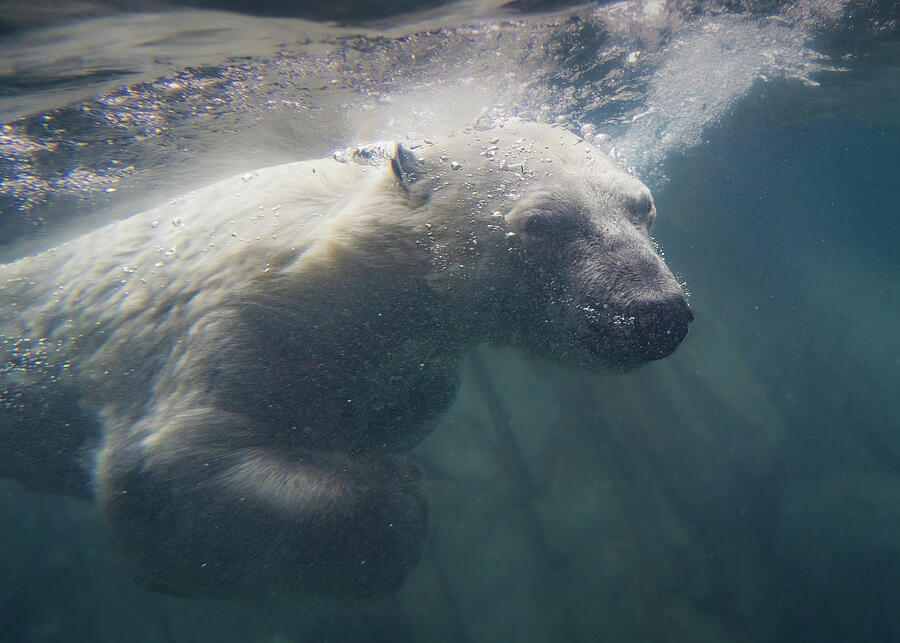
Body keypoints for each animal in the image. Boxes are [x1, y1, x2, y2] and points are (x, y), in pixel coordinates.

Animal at [0, 120, 691, 600]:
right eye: (543, 223)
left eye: (643, 206)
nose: (655, 311)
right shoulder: (233, 315)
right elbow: (164, 464)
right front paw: (397, 502)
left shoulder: (410, 368)